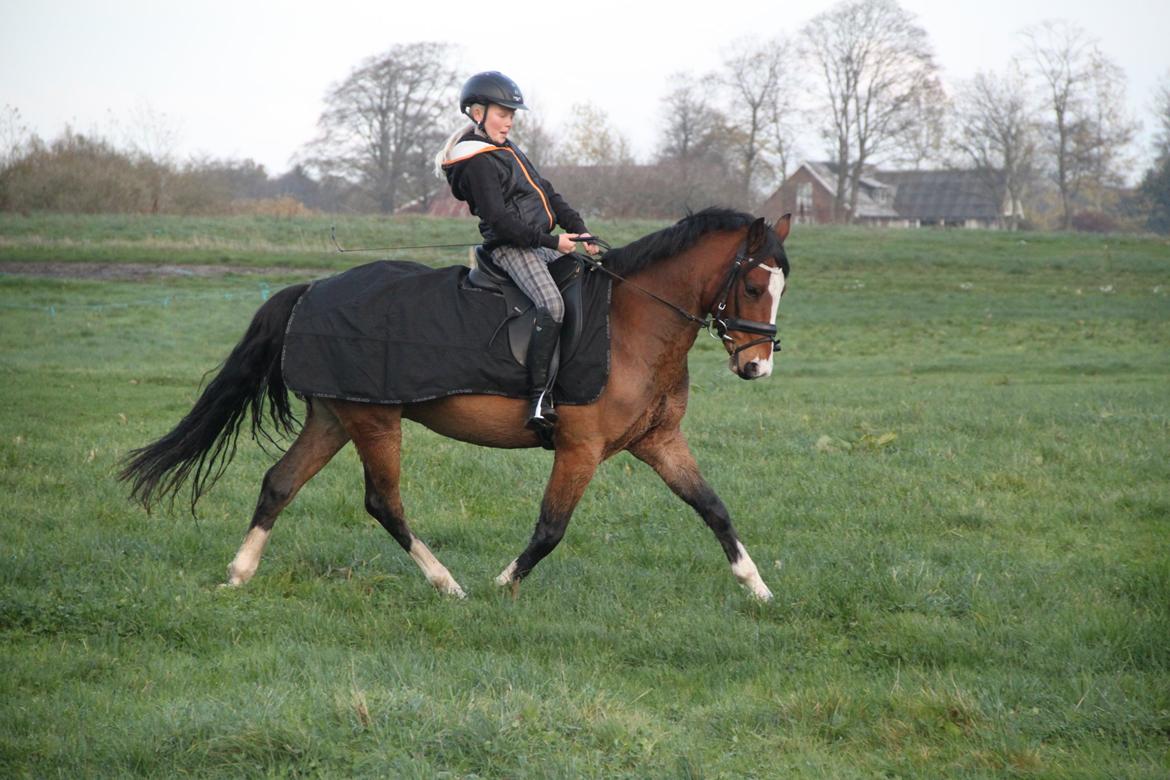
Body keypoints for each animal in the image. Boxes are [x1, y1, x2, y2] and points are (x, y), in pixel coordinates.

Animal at [119, 208, 792, 601]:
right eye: (753, 284)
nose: (757, 367)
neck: (631, 324)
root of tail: (313, 289)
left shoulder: (657, 441)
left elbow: (713, 508)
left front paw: (756, 587)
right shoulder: (581, 448)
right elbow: (551, 528)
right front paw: (502, 584)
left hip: (337, 414)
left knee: (279, 483)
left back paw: (239, 574)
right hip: (375, 419)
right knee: (382, 502)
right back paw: (448, 585)